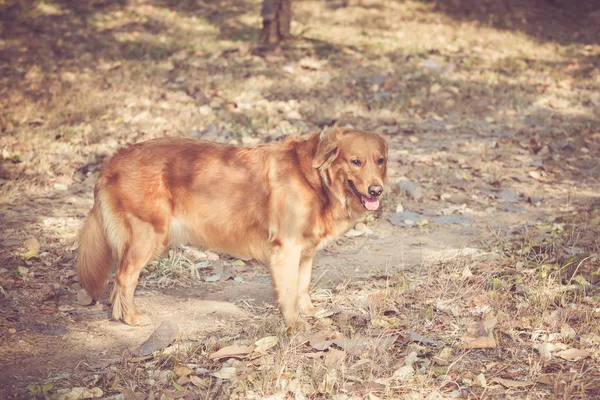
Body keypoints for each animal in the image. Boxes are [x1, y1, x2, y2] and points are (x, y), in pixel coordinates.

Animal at [76, 126, 390, 330]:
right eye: (355, 161)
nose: (377, 191)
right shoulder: (286, 248)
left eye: (380, 161)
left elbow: (303, 285)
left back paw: (119, 315)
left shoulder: (305, 251)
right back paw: (131, 318)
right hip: (147, 235)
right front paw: (294, 323)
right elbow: (289, 291)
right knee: (124, 278)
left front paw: (309, 311)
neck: (315, 178)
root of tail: (113, 159)